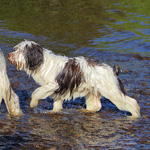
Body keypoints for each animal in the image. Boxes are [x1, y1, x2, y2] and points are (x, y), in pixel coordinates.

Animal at [7, 40, 140, 118]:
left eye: (20, 51)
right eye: (16, 49)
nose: (9, 55)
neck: (42, 62)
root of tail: (112, 70)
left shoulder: (54, 85)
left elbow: (36, 92)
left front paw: (33, 103)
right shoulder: (58, 92)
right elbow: (57, 105)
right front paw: (54, 111)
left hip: (112, 91)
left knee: (131, 102)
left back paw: (135, 114)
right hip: (93, 92)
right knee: (96, 106)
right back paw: (85, 112)